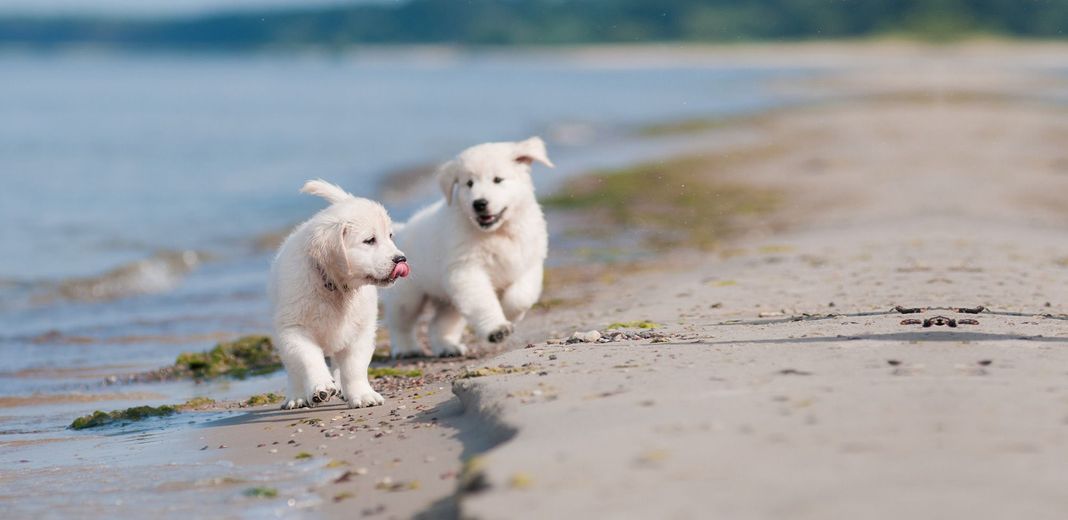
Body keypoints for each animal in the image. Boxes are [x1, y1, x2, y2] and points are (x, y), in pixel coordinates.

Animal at [269, 181, 410, 410]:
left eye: (390, 236)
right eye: (369, 240)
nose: (401, 259)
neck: (333, 286)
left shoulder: (360, 330)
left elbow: (354, 367)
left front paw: (362, 394)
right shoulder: (294, 329)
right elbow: (308, 359)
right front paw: (320, 387)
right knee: (293, 368)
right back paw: (296, 396)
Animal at [382, 137, 551, 358]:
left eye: (498, 179)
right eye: (469, 183)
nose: (479, 203)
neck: (497, 233)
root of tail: (402, 229)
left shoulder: (529, 262)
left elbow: (521, 295)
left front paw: (509, 312)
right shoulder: (467, 270)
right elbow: (483, 301)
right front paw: (496, 328)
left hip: (449, 300)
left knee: (438, 324)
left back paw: (447, 347)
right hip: (407, 295)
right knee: (401, 322)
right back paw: (406, 348)